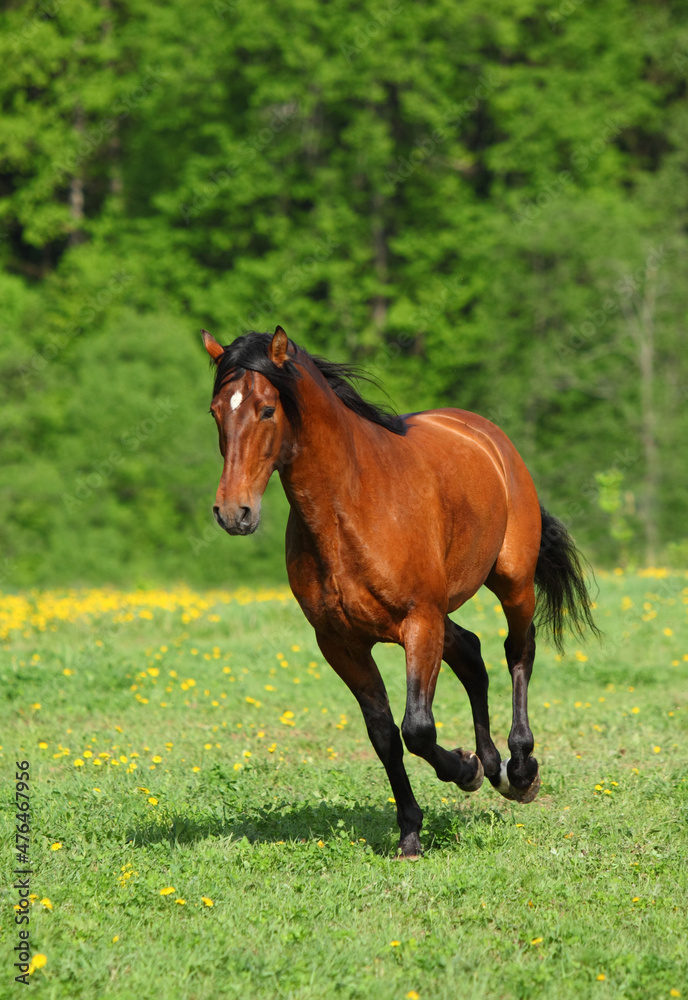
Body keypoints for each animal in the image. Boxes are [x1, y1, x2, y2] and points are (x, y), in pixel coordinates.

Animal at [200, 328, 596, 860]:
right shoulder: (341, 643)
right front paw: (412, 830)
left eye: (266, 409)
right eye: (216, 411)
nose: (233, 512)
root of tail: (488, 436)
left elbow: (417, 728)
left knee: (518, 651)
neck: (351, 507)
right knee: (471, 653)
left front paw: (465, 770)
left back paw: (518, 770)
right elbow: (384, 734)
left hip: (511, 582)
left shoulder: (419, 622)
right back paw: (492, 764)